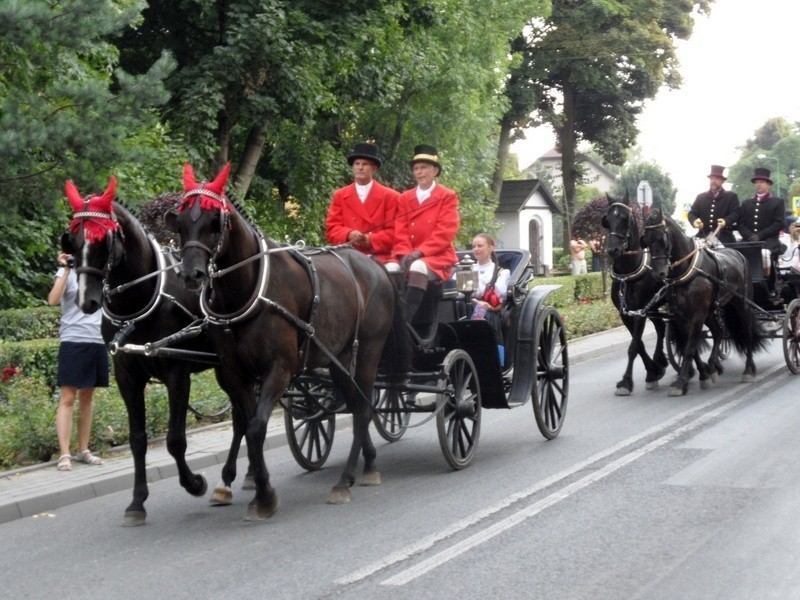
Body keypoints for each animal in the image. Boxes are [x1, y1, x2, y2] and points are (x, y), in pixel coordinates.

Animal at [62, 178, 245, 524]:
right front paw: (137, 502)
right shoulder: (127, 376)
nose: (85, 301)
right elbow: (138, 440)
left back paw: (229, 482)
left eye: (103, 240)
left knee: (245, 414)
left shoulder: (176, 373)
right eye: (72, 240)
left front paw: (194, 483)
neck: (142, 300)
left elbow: (175, 440)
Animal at [166, 164, 410, 520]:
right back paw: (367, 465)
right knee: (357, 406)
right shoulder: (235, 373)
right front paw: (254, 487)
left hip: (367, 353)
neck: (250, 287)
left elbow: (256, 427)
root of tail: (377, 267)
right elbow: (248, 425)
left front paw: (264, 495)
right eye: (181, 221)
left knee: (364, 409)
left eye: (214, 221)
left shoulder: (279, 369)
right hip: (337, 360)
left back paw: (345, 479)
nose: (191, 275)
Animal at [600, 195, 668, 396]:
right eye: (607, 219)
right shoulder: (626, 314)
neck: (626, 274)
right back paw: (660, 360)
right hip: (654, 307)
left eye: (626, 219)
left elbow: (634, 346)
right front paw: (653, 371)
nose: (613, 250)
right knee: (661, 327)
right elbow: (639, 345)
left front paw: (626, 382)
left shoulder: (640, 313)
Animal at [636, 209, 768, 396]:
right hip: (712, 311)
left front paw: (681, 382)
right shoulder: (681, 316)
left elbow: (691, 347)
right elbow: (692, 346)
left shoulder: (698, 315)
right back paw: (713, 366)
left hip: (742, 305)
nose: (658, 274)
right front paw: (701, 375)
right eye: (645, 240)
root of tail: (738, 254)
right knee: (719, 333)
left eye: (663, 238)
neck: (686, 271)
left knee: (747, 333)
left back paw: (748, 370)